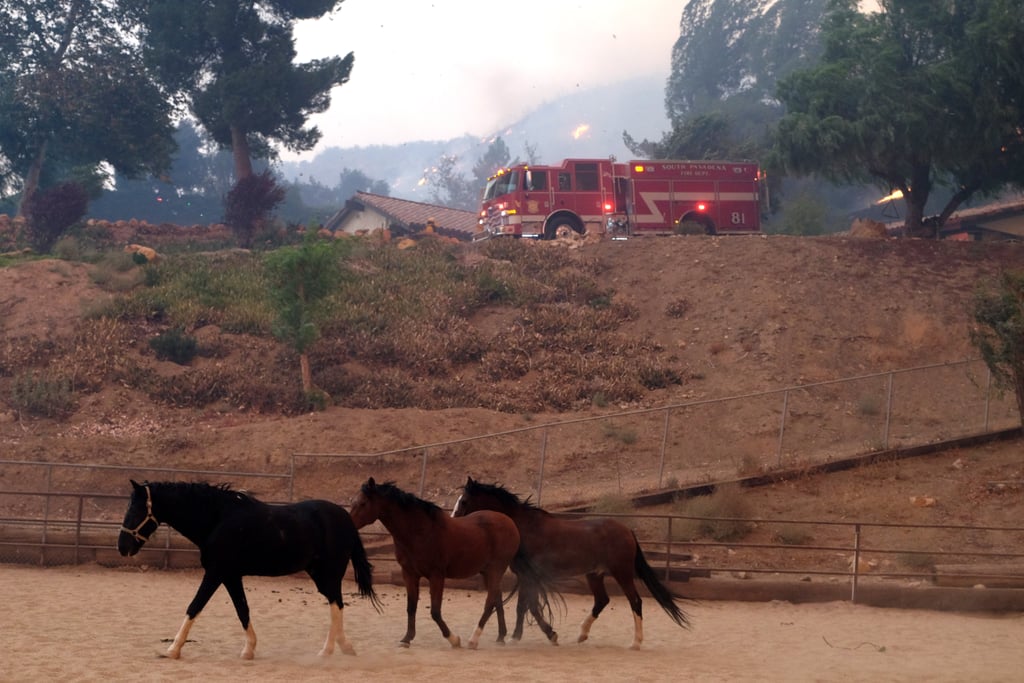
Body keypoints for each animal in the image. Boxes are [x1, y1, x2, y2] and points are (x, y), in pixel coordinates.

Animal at [116, 479, 380, 659]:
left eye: (135, 510)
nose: (122, 547)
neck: (218, 519)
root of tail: (346, 518)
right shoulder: (231, 576)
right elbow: (242, 609)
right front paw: (249, 650)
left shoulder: (215, 573)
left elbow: (195, 606)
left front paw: (172, 649)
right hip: (319, 574)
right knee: (337, 603)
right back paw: (345, 647)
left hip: (328, 574)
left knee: (336, 605)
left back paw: (327, 650)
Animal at [350, 479, 548, 651]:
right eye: (353, 502)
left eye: (363, 503)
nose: (350, 524)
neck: (420, 532)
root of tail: (508, 521)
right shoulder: (409, 574)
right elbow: (411, 607)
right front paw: (406, 639)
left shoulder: (436, 575)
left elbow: (435, 612)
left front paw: (453, 639)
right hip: (487, 572)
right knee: (497, 598)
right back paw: (501, 637)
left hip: (496, 569)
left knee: (491, 600)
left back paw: (473, 639)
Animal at [454, 479, 688, 651]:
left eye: (464, 501)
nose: (453, 519)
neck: (525, 528)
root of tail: (627, 530)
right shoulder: (524, 575)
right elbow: (523, 606)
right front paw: (516, 636)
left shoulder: (530, 576)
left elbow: (530, 606)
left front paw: (550, 634)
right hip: (595, 574)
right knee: (601, 600)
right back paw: (582, 634)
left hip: (621, 573)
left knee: (635, 601)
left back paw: (635, 643)